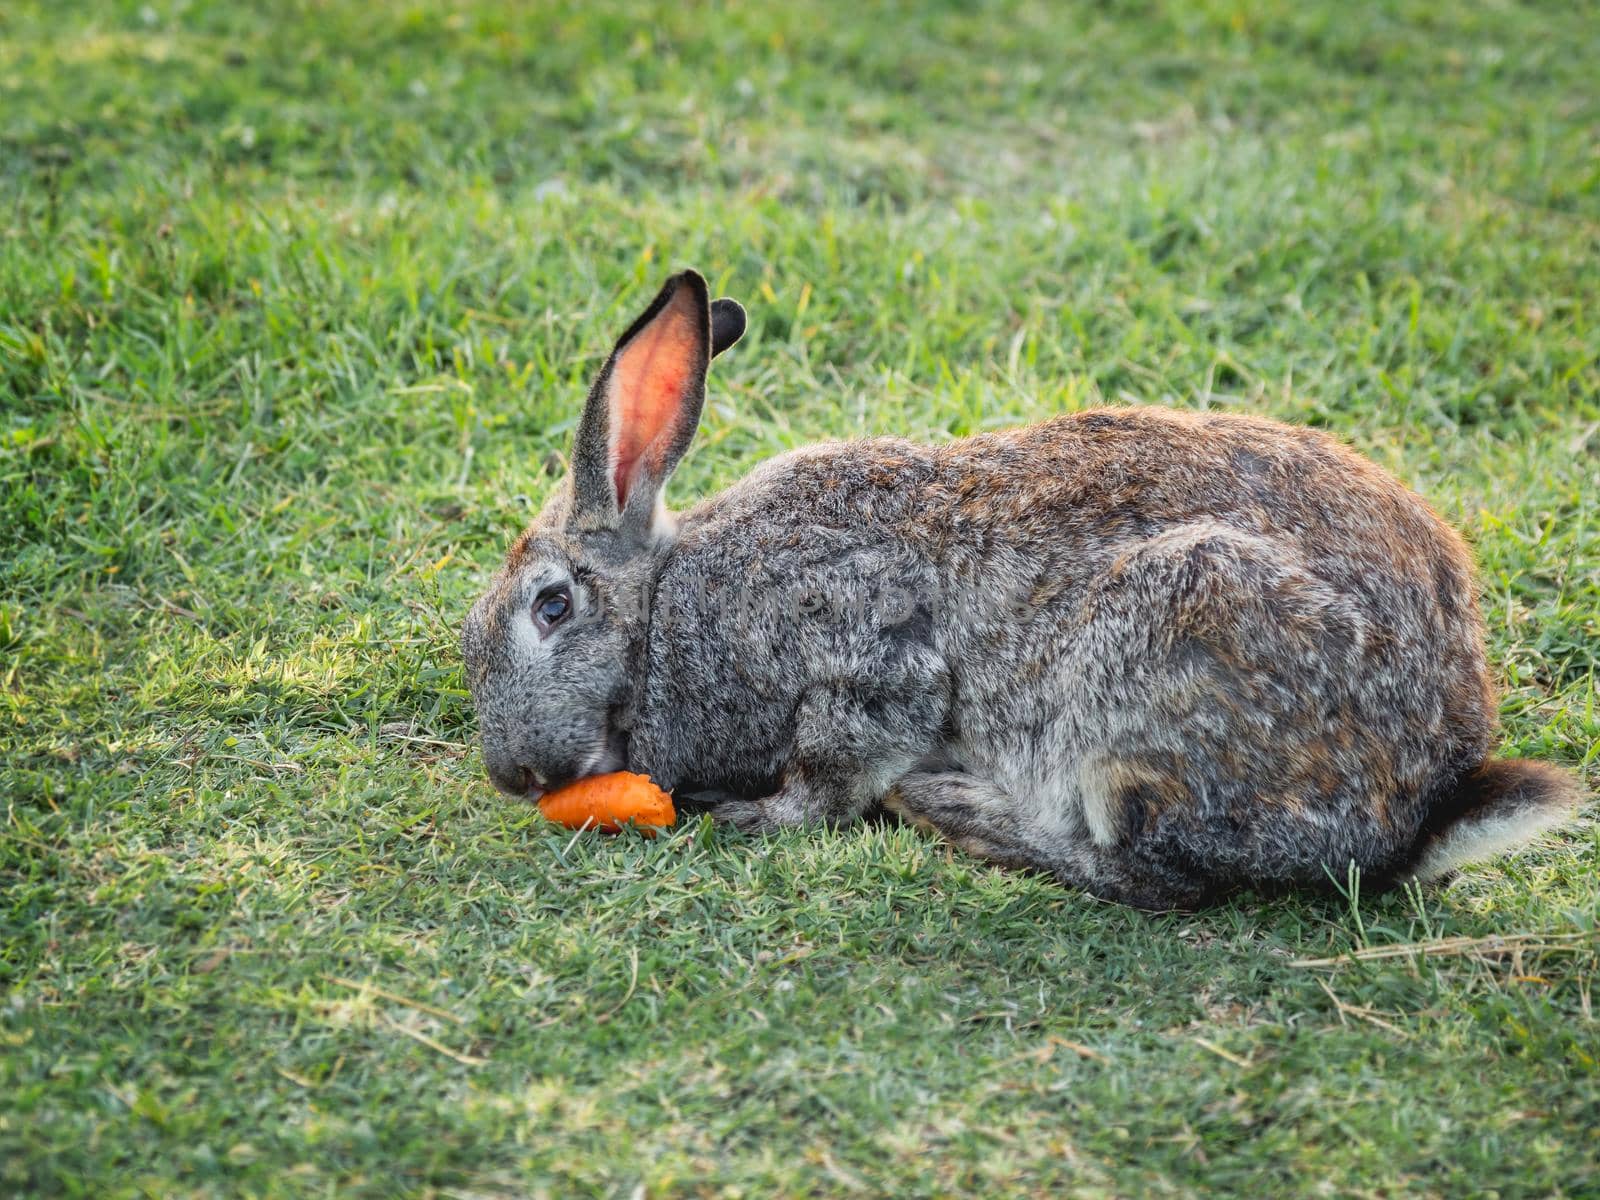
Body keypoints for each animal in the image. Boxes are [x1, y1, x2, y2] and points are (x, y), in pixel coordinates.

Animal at [460, 270, 1574, 908]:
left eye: (551, 607)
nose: (512, 774)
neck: (666, 612)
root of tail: (1419, 809)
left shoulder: (863, 650)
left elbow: (834, 765)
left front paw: (757, 817)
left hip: (1163, 651)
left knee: (1153, 878)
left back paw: (958, 811)